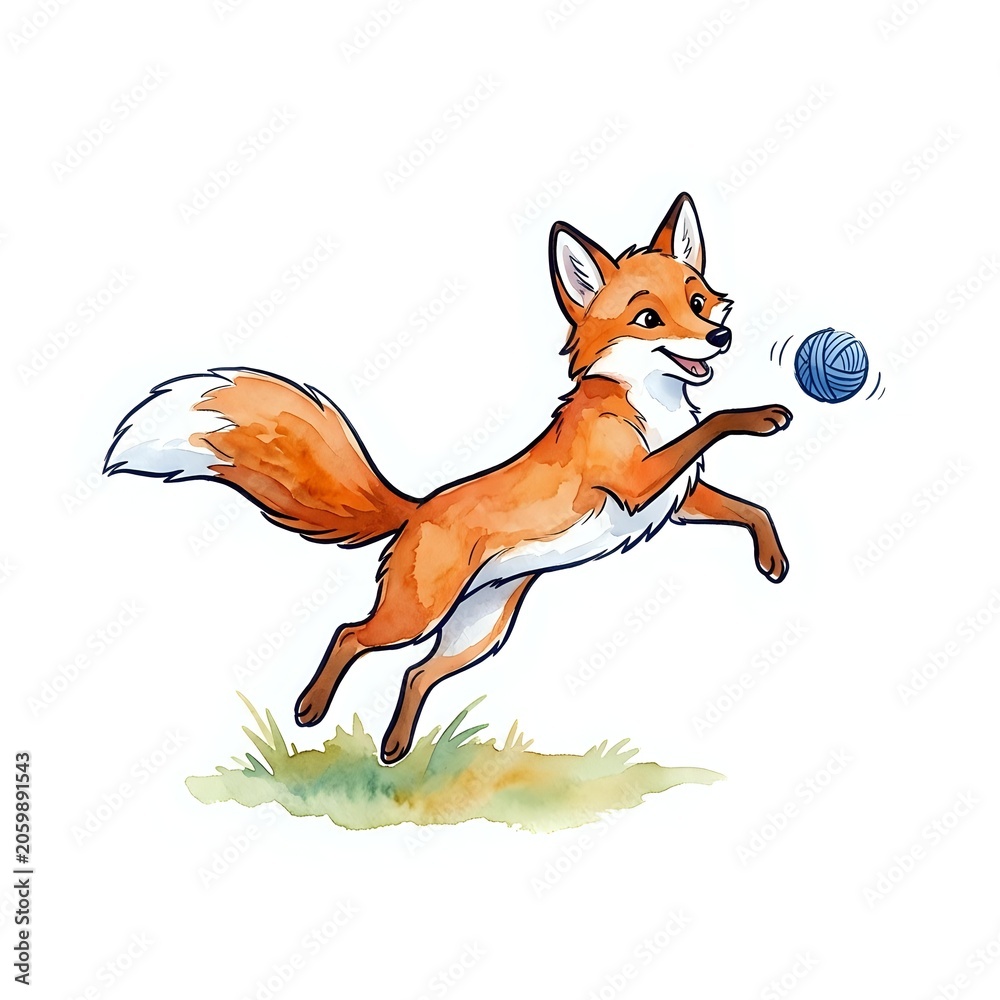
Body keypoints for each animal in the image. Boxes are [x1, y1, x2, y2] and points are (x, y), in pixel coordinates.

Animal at [105, 192, 792, 763]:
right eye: (649, 319)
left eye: (698, 301)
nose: (721, 335)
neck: (647, 404)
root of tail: (415, 509)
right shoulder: (636, 481)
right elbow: (714, 427)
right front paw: (761, 417)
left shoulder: (677, 499)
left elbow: (753, 508)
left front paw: (774, 561)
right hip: (416, 616)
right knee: (350, 635)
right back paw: (311, 708)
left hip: (478, 634)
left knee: (415, 673)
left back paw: (395, 746)